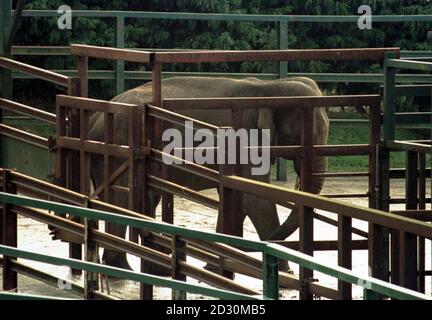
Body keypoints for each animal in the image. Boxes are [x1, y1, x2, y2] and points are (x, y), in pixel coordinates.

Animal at [89, 77, 330, 270]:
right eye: (306, 137)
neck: (269, 87)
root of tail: (95, 117)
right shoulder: (245, 138)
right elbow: (254, 198)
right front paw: (284, 271)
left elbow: (235, 196)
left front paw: (215, 265)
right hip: (120, 142)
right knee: (122, 198)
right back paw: (123, 267)